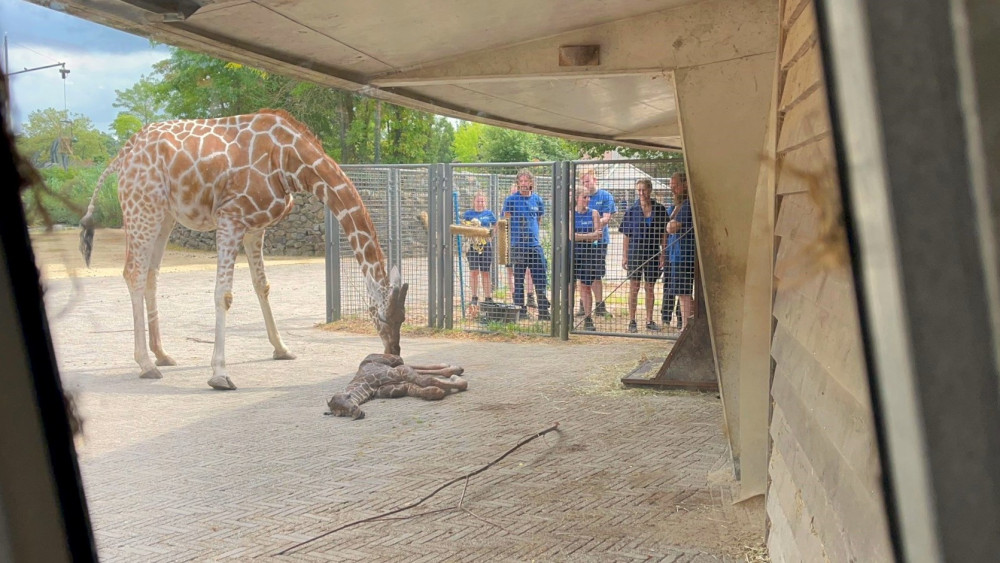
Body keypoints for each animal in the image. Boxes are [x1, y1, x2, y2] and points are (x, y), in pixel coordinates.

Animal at [80, 110, 404, 392]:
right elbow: (223, 294)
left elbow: (262, 285)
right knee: (133, 272)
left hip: (165, 215)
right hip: (142, 207)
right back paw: (146, 364)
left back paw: (162, 355)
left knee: (151, 273)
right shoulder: (230, 218)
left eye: (403, 317)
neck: (290, 160)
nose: (394, 354)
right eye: (382, 316)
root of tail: (122, 154)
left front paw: (282, 349)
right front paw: (220, 374)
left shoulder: (255, 227)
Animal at [328, 354, 468, 420]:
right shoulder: (399, 387)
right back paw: (453, 369)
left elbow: (427, 380)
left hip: (394, 359)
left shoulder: (399, 371)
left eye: (348, 397)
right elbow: (425, 389)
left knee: (407, 363)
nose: (357, 414)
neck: (369, 387)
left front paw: (457, 381)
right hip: (396, 365)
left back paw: (453, 368)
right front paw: (439, 390)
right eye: (340, 414)